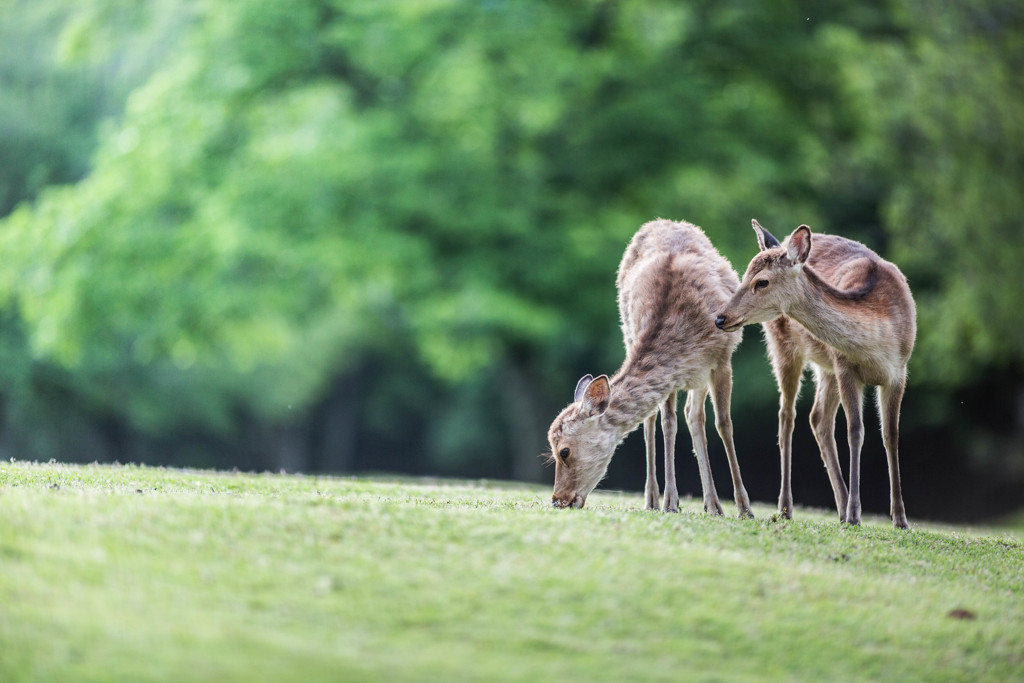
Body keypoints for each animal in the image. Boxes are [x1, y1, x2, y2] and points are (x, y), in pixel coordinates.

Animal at [548, 219, 757, 518]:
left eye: (564, 451)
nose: (557, 500)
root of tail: (663, 221)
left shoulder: (722, 358)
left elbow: (724, 424)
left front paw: (745, 508)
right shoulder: (673, 375)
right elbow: (668, 424)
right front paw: (671, 502)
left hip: (701, 373)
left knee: (695, 417)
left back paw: (713, 504)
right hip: (629, 334)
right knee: (660, 419)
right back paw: (657, 499)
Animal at [716, 222, 917, 532]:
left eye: (761, 282)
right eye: (744, 275)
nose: (720, 317)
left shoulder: (899, 371)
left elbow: (890, 435)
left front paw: (900, 519)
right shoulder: (845, 365)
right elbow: (855, 431)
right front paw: (856, 514)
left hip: (826, 367)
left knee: (818, 417)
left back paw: (840, 507)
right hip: (784, 347)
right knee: (788, 416)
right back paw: (787, 508)